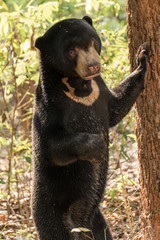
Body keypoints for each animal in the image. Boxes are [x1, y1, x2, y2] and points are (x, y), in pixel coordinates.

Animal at [31, 15, 149, 240]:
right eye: (71, 51)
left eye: (93, 42)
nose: (94, 66)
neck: (79, 87)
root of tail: (81, 222)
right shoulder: (49, 107)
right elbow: (49, 146)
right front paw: (98, 148)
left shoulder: (100, 93)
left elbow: (116, 107)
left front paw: (143, 58)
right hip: (52, 213)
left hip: (97, 222)